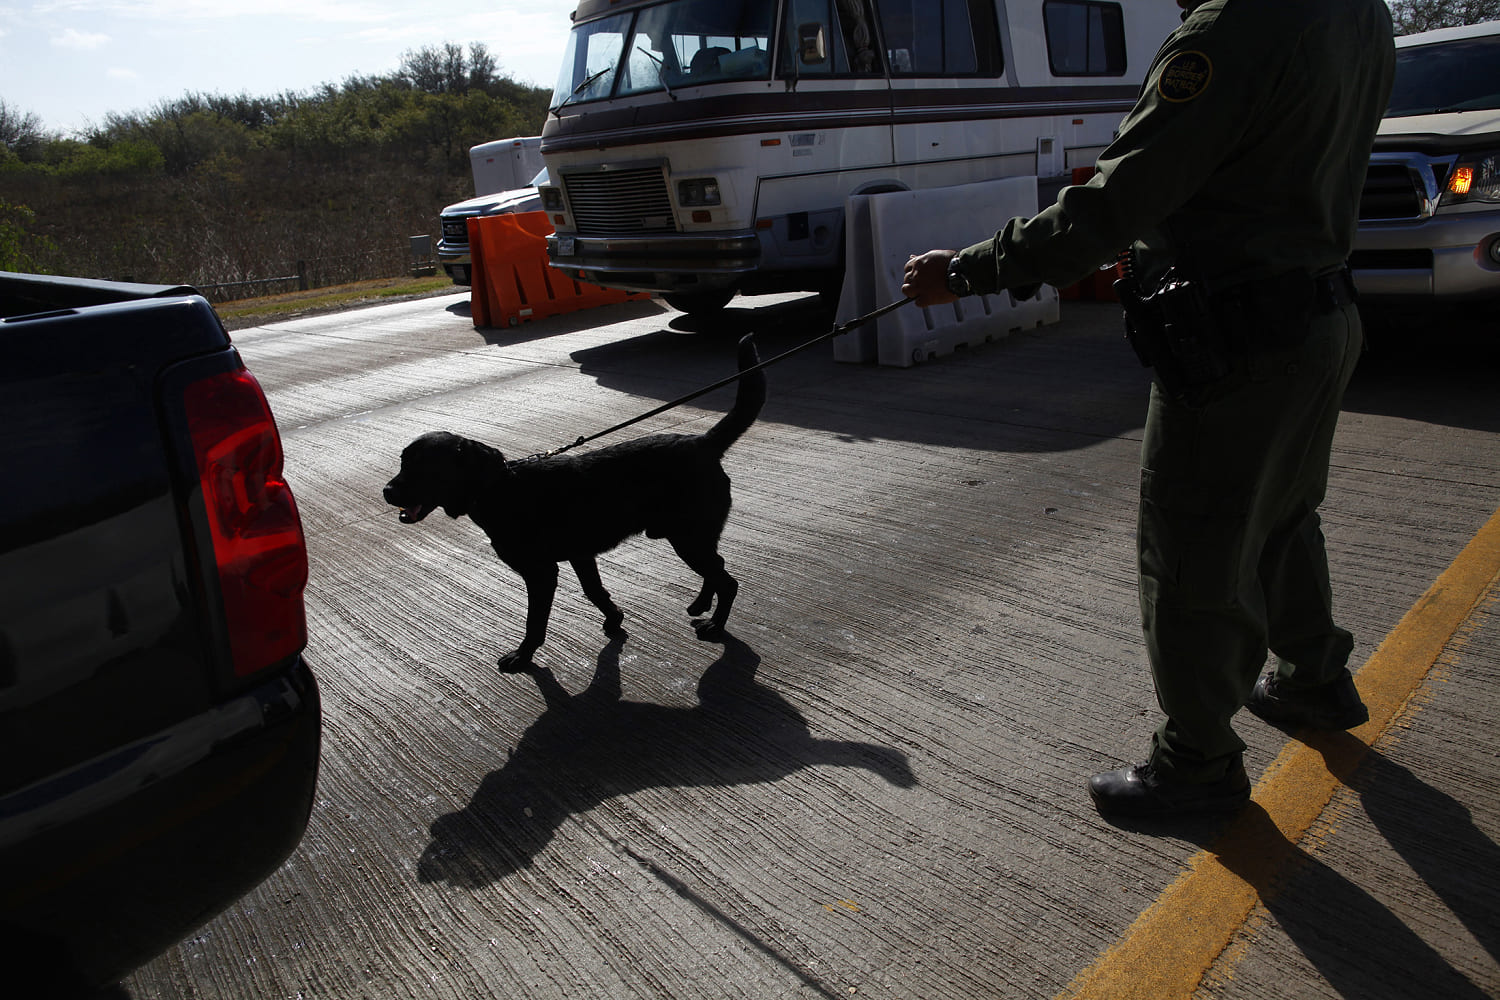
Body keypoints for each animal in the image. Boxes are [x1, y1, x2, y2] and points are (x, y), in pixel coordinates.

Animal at [381, 335, 768, 671]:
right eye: (402, 462)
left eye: (425, 469)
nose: (386, 491)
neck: (499, 488)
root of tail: (704, 443)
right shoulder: (581, 556)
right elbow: (594, 591)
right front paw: (614, 618)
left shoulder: (541, 573)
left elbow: (535, 621)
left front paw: (523, 656)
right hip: (691, 536)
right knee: (716, 569)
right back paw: (702, 603)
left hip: (688, 537)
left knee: (727, 580)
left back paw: (716, 626)